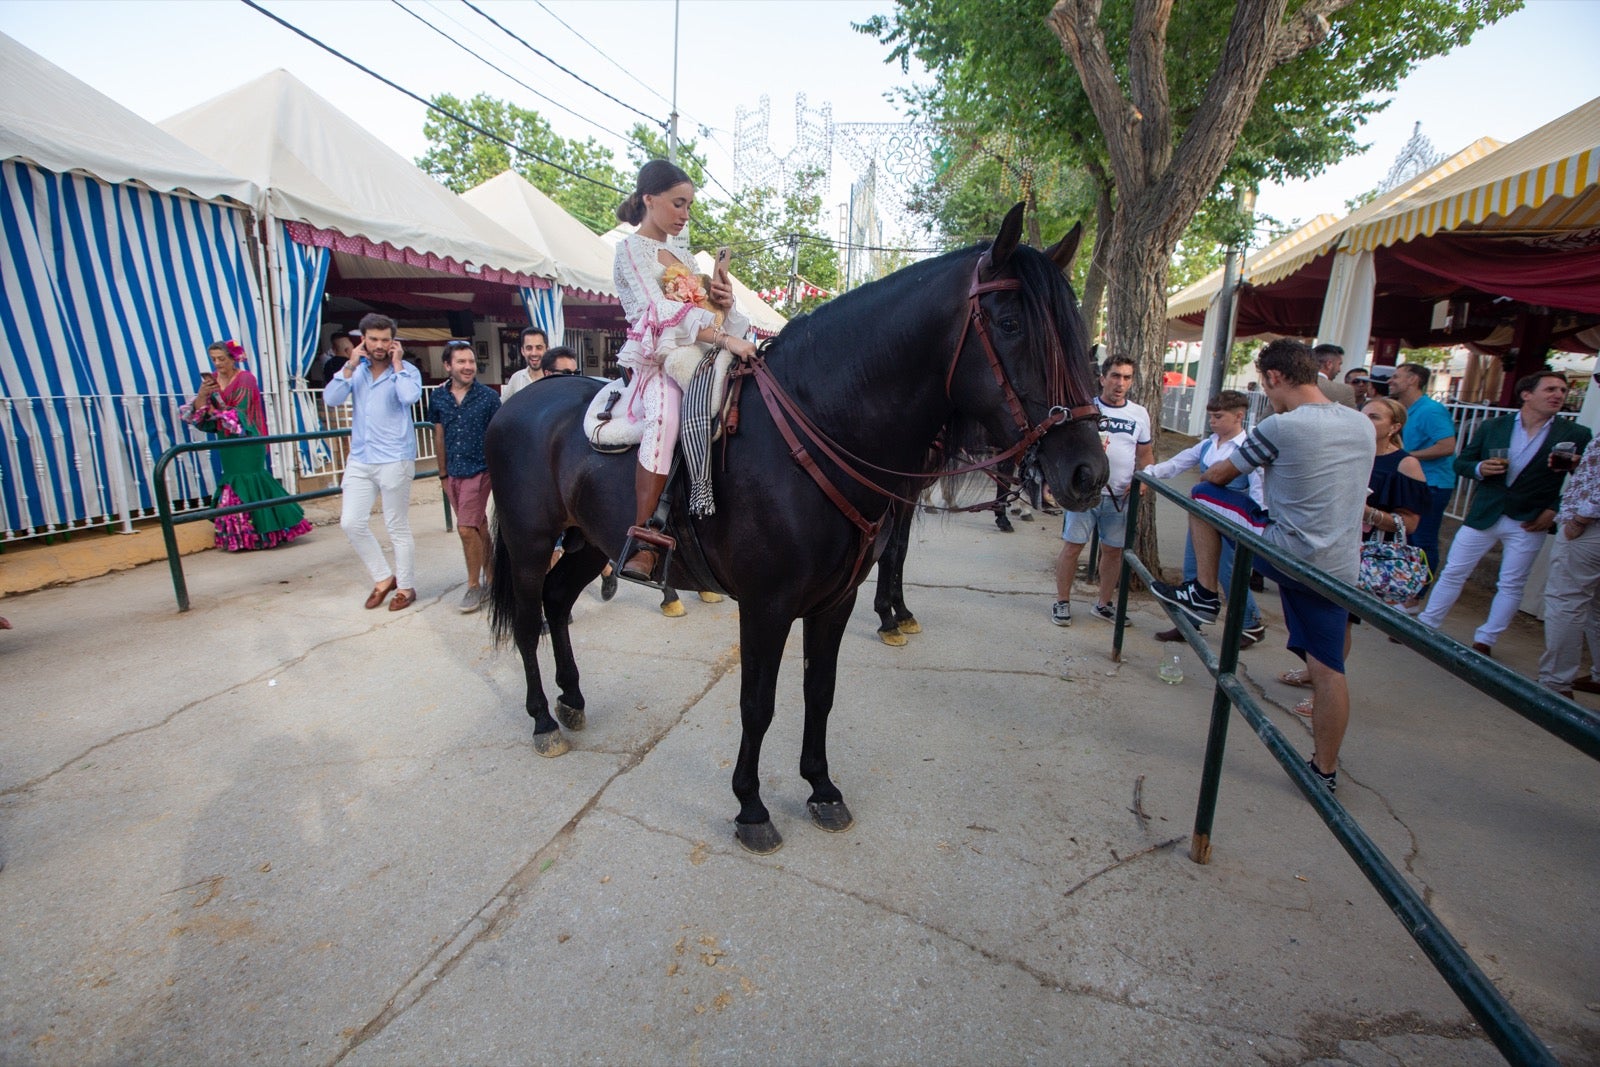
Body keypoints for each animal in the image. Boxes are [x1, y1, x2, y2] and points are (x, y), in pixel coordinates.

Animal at [486, 204, 1107, 857]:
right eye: (1010, 323)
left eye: (1073, 329)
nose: (1088, 472)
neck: (816, 431)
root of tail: (519, 401)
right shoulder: (767, 604)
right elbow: (758, 703)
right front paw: (751, 807)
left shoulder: (834, 600)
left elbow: (820, 691)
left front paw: (822, 789)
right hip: (531, 544)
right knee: (527, 619)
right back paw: (543, 720)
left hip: (588, 541)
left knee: (558, 603)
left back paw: (572, 699)